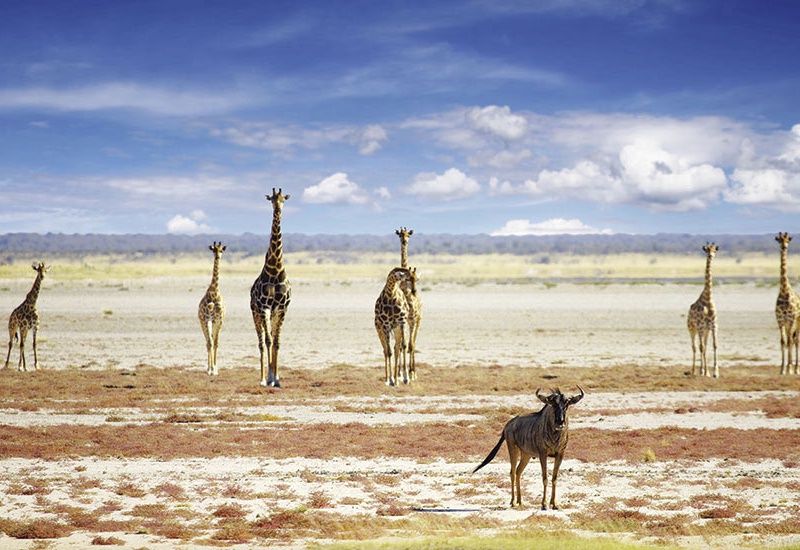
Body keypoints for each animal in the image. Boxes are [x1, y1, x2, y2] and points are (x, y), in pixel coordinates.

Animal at [684, 246, 720, 380]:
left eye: (715, 250)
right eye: (706, 250)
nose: (710, 256)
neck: (708, 299)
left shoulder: (713, 326)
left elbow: (714, 345)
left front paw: (715, 373)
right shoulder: (700, 326)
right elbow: (701, 348)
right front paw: (701, 372)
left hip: (705, 331)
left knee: (704, 346)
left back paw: (706, 372)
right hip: (692, 329)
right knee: (695, 347)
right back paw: (694, 371)